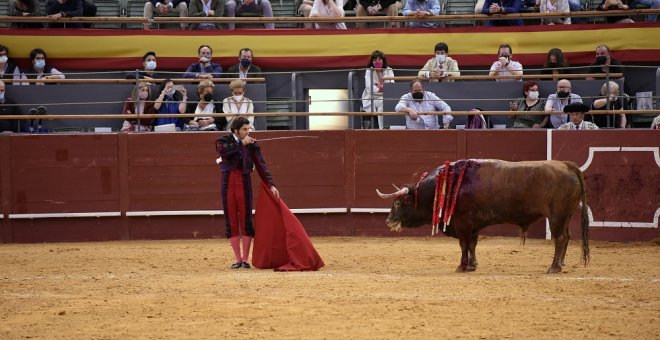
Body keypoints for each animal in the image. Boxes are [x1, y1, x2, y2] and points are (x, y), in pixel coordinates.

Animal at [378, 159, 592, 274]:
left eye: (398, 203)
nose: (388, 221)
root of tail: (566, 165)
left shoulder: (462, 222)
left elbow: (463, 244)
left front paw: (462, 266)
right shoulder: (474, 225)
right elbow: (473, 244)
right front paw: (472, 265)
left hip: (557, 217)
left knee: (560, 238)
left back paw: (553, 267)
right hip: (565, 216)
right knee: (566, 237)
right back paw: (561, 264)